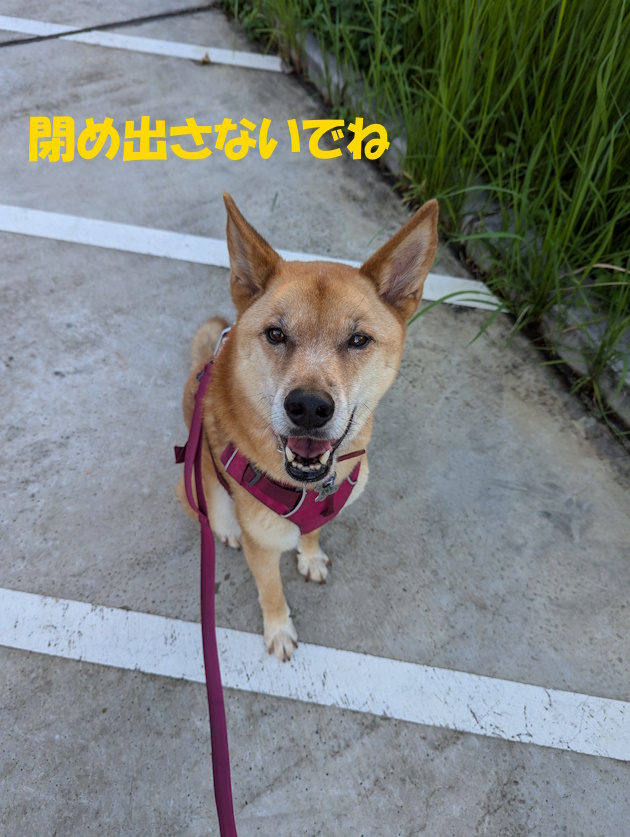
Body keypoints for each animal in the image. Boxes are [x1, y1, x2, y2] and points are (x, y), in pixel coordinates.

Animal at [178, 194, 438, 660]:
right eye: (276, 334)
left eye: (358, 340)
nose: (310, 408)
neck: (307, 489)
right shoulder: (262, 547)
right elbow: (271, 591)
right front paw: (279, 630)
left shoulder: (323, 511)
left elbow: (313, 534)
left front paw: (310, 556)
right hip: (199, 482)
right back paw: (224, 529)